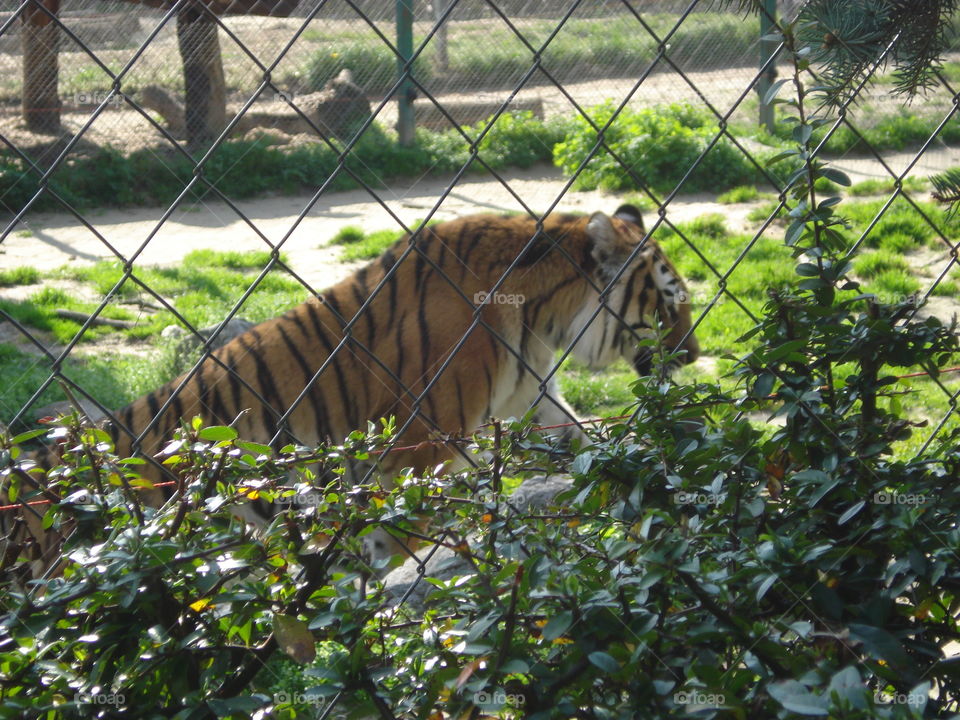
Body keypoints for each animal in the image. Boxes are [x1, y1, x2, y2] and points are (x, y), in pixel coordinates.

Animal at [0, 204, 699, 578]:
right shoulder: (425, 432)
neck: (543, 314)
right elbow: (406, 520)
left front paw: (649, 478)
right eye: (669, 305)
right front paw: (376, 573)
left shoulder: (533, 394)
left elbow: (583, 440)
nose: (695, 356)